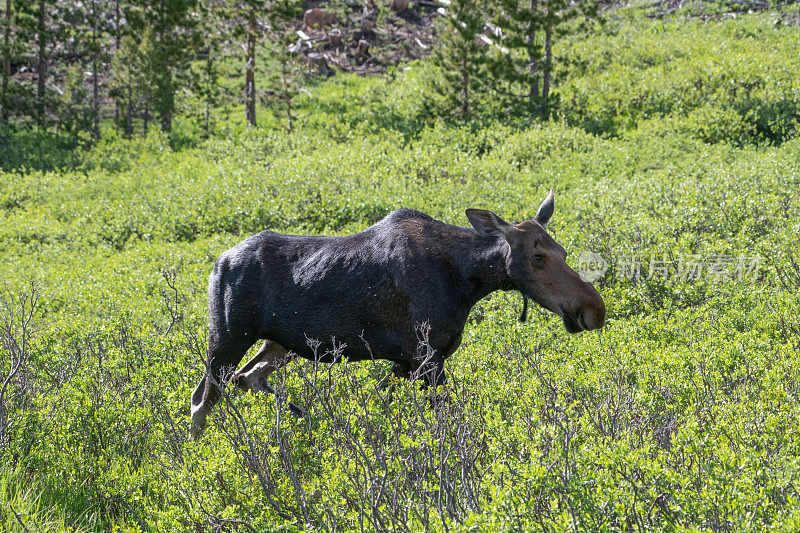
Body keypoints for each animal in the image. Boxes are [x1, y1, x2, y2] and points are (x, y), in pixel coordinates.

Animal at [191, 191, 604, 436]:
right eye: (538, 256)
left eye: (563, 251)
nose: (594, 309)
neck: (469, 280)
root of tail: (216, 263)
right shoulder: (426, 356)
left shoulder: (406, 362)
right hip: (227, 338)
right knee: (203, 398)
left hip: (281, 343)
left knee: (248, 377)